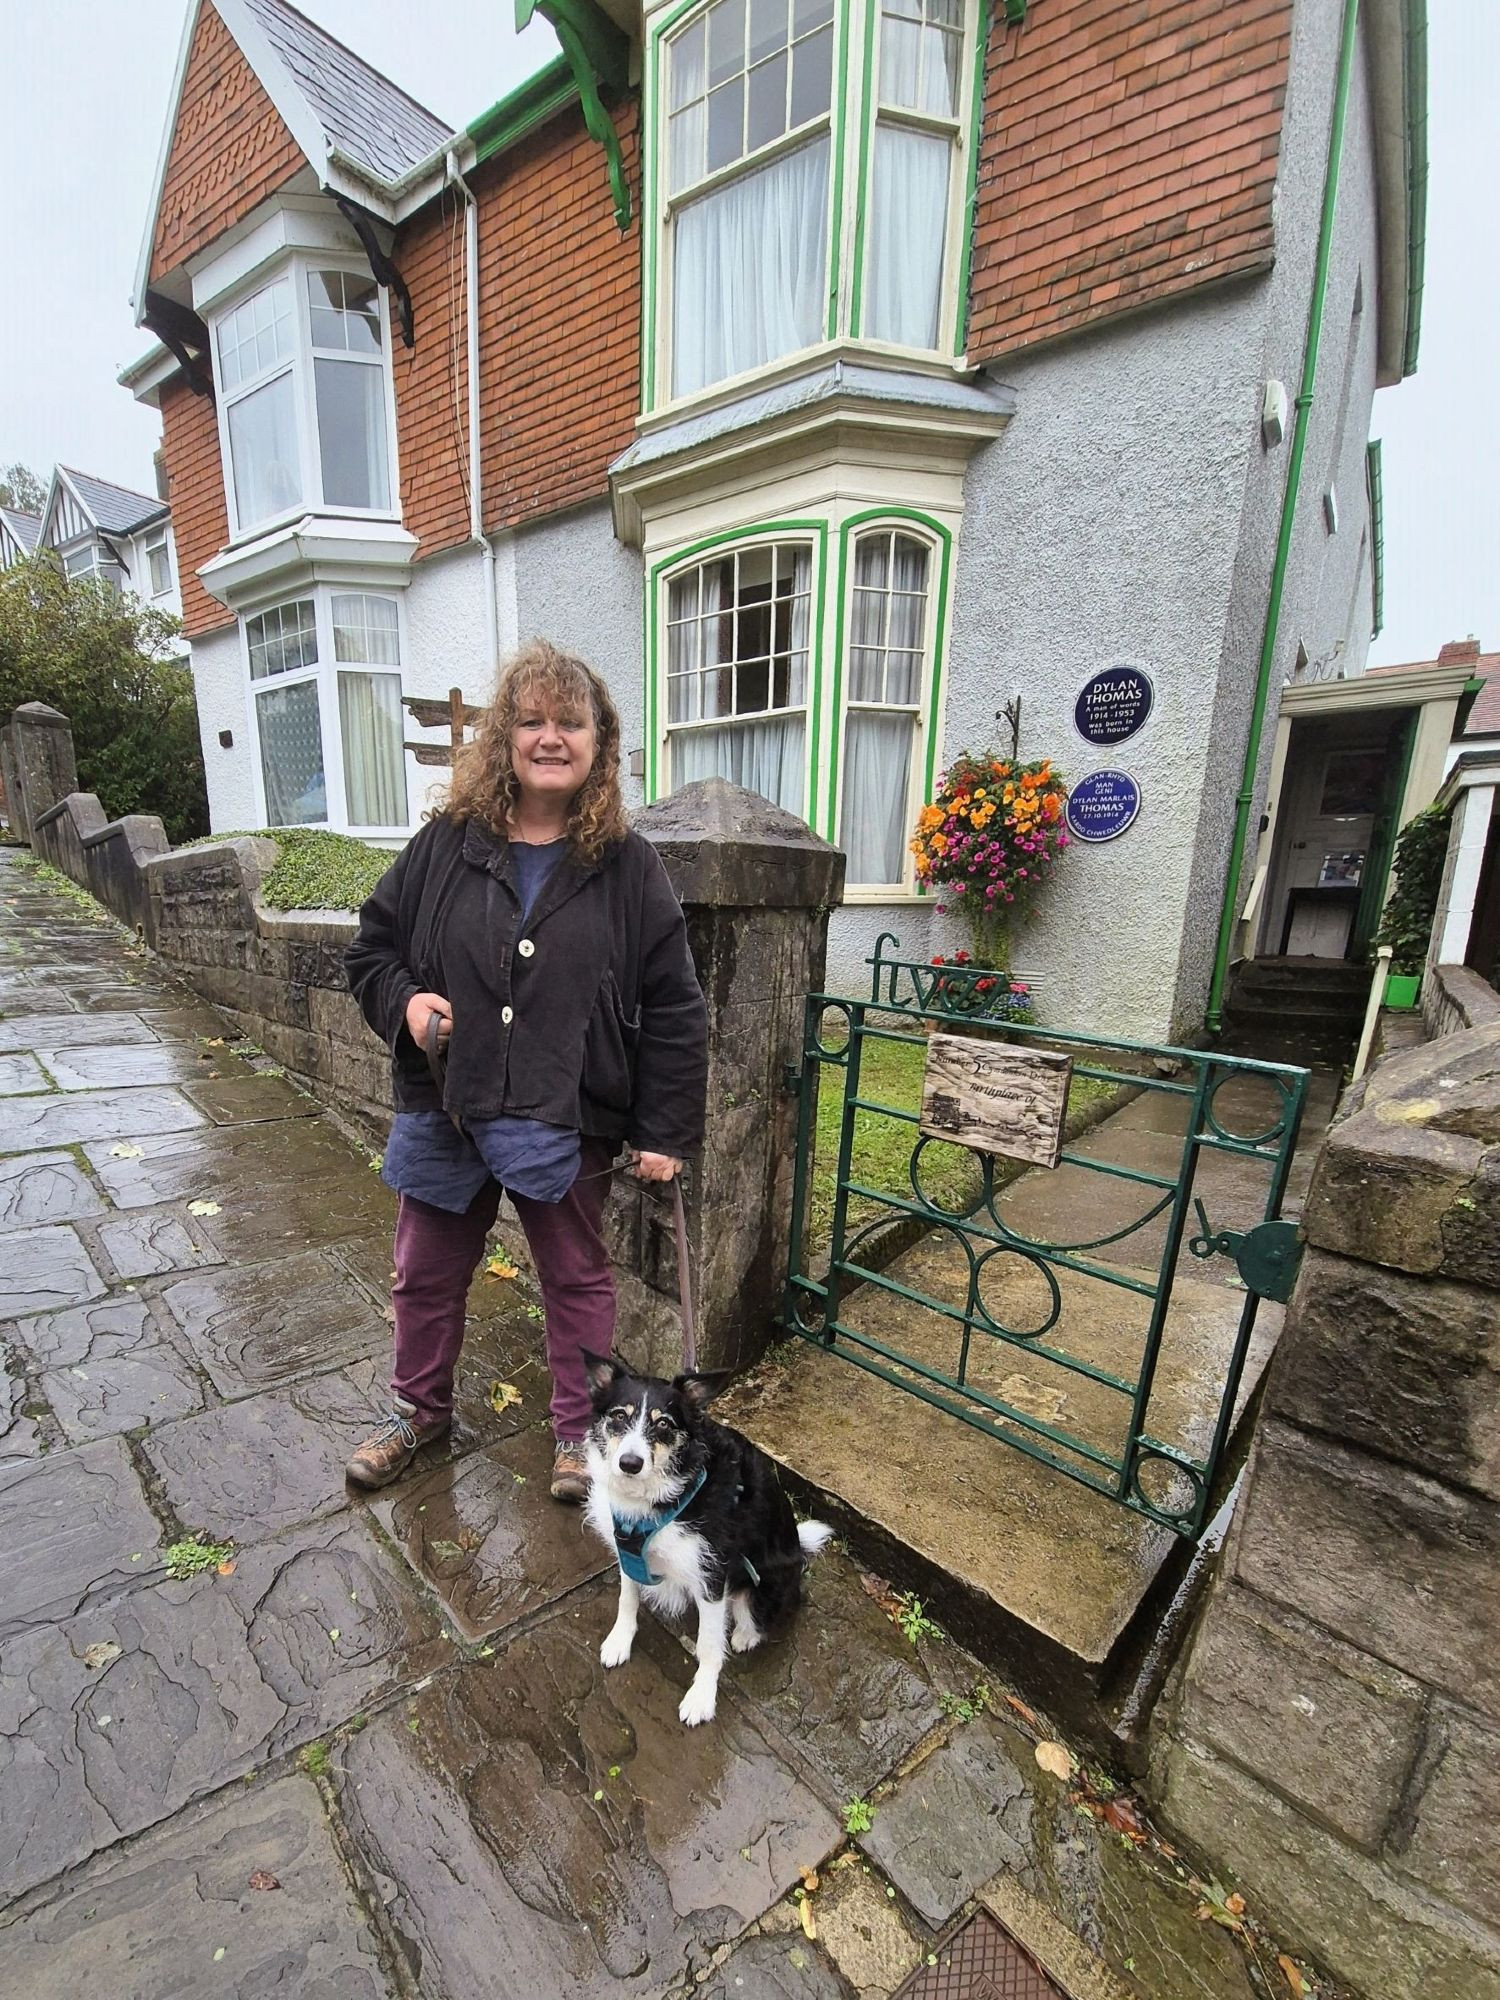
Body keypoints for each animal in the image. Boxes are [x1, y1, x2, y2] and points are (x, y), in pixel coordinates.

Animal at [580, 1352, 836, 1728]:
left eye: (664, 1424)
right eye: (618, 1416)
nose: (629, 1463)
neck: (661, 1494)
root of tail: (797, 1550)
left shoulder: (711, 1577)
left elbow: (709, 1646)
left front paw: (701, 1697)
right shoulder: (627, 1552)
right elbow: (627, 1597)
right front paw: (619, 1641)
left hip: (767, 1581)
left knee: (754, 1611)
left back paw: (744, 1634)